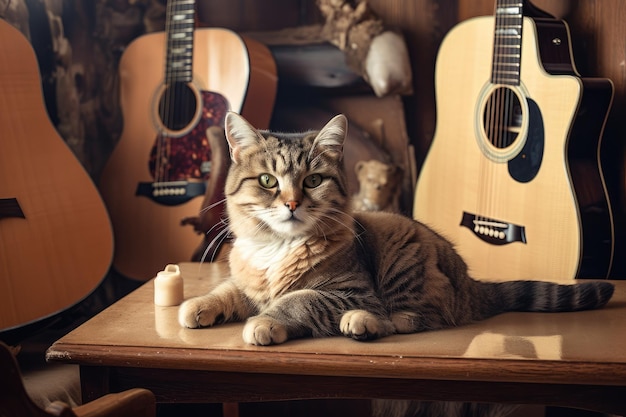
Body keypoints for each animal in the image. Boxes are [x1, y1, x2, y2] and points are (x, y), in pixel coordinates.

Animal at [178, 111, 612, 348]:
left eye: (313, 180)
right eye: (268, 181)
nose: (291, 203)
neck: (277, 250)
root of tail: (472, 285)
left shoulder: (351, 290)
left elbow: (297, 299)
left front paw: (266, 321)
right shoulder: (246, 281)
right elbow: (226, 291)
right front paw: (199, 305)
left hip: (401, 256)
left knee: (412, 317)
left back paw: (363, 324)